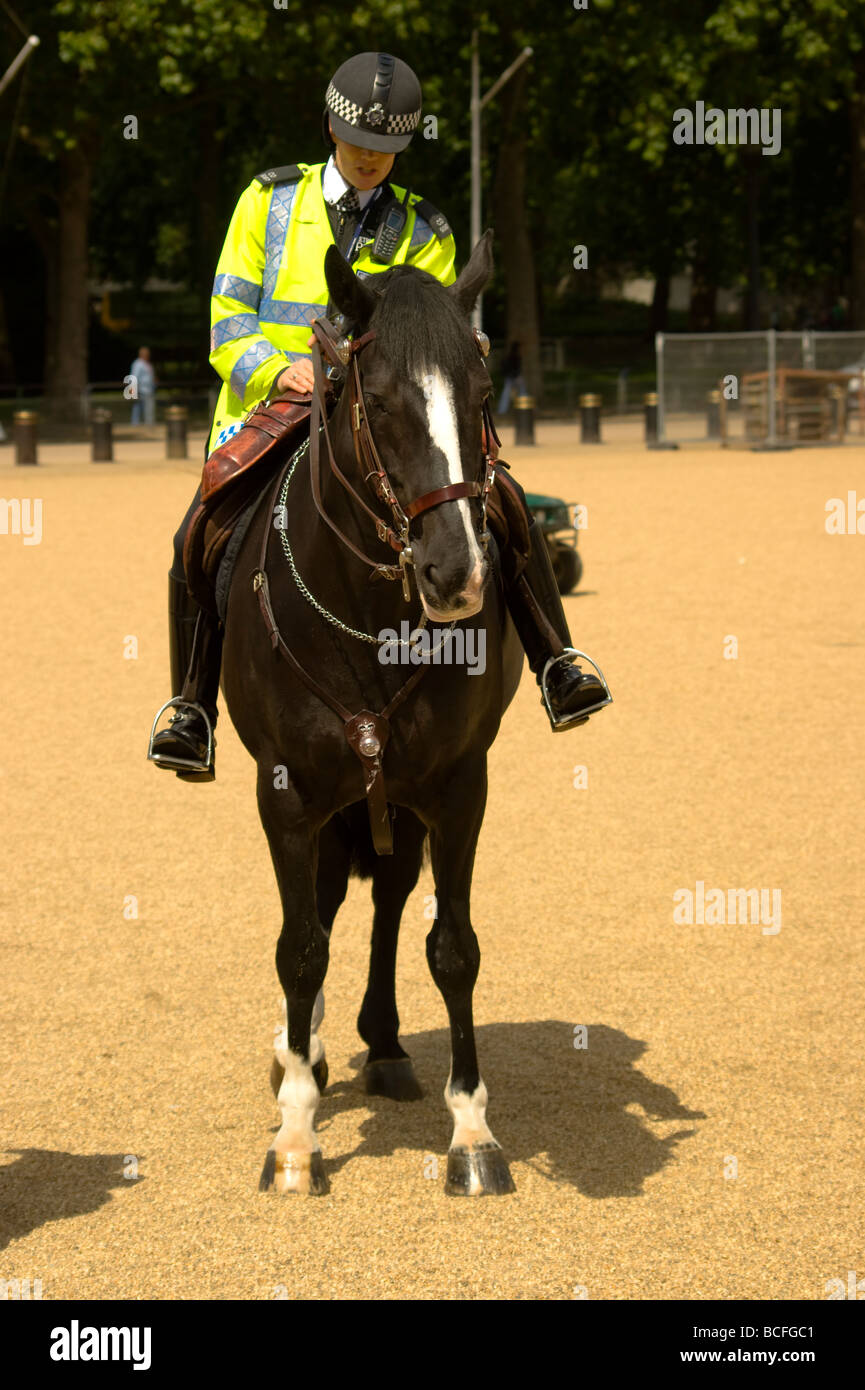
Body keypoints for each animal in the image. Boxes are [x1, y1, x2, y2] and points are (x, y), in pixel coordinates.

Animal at [223, 230, 522, 1195]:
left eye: (480, 396)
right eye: (379, 402)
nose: (455, 573)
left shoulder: (458, 788)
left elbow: (452, 947)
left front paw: (471, 1133)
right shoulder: (284, 791)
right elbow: (299, 947)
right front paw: (293, 1136)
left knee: (388, 900)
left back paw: (380, 1045)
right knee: (319, 911)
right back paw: (304, 1052)